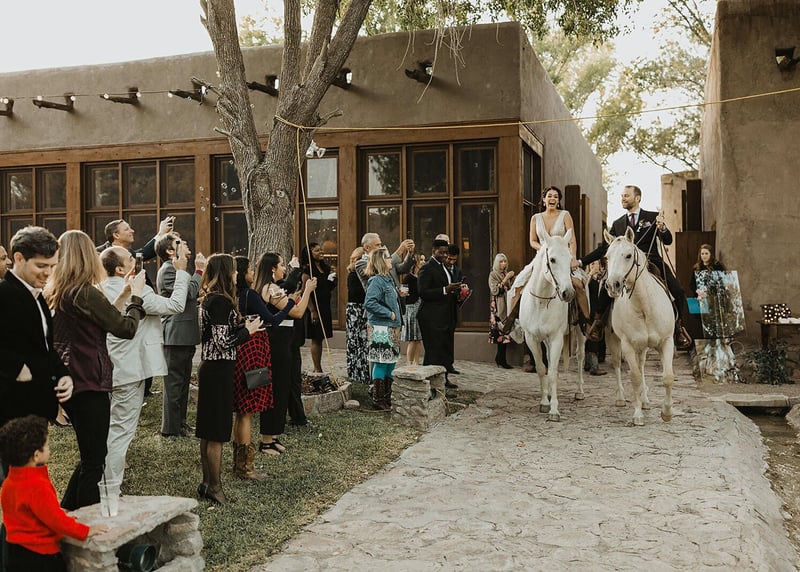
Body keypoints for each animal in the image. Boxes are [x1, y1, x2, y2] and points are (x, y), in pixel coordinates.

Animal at [516, 229, 577, 422]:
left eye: (570, 258)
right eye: (553, 259)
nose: (568, 293)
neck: (541, 302)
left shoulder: (557, 338)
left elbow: (554, 372)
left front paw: (554, 410)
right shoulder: (532, 338)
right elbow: (542, 369)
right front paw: (544, 402)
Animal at [603, 227, 675, 426]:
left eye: (628, 255)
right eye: (607, 257)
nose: (612, 285)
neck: (644, 306)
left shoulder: (667, 341)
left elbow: (667, 377)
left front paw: (667, 412)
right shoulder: (627, 344)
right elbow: (634, 377)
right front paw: (637, 415)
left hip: (643, 347)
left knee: (642, 365)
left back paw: (645, 400)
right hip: (614, 340)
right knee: (617, 365)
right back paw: (621, 398)